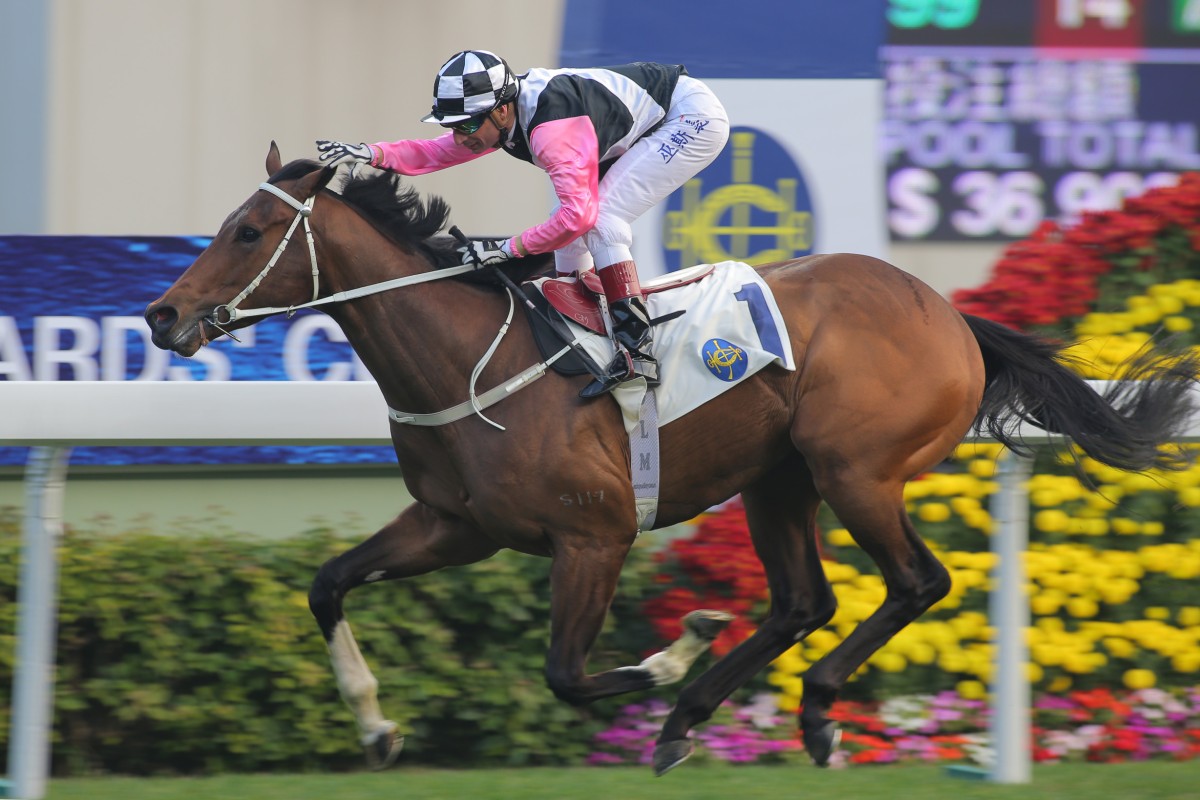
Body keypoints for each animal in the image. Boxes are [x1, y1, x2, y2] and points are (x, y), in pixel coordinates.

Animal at [145, 143, 1195, 777]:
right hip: (779, 478)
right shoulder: (456, 527)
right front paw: (373, 725)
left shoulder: (594, 535)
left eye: (248, 231)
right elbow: (327, 583)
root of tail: (947, 311)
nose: (162, 315)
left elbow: (568, 674)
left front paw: (669, 649)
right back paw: (700, 715)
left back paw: (803, 710)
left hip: (856, 470)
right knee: (804, 600)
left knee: (915, 582)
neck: (472, 356)